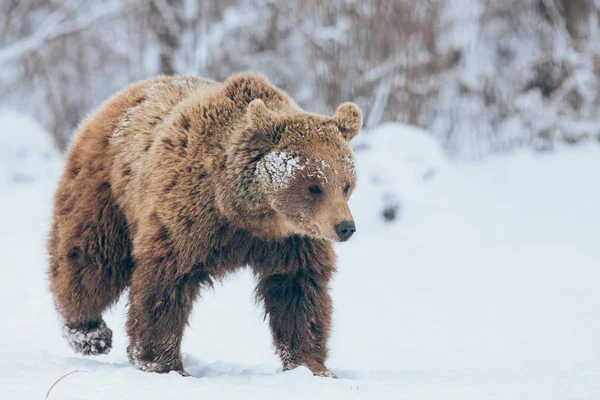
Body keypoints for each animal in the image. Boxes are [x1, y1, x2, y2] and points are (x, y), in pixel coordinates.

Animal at [47, 72, 360, 378]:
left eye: (346, 184)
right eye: (314, 186)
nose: (345, 227)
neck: (248, 215)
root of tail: (120, 96)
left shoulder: (292, 241)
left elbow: (298, 290)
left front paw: (311, 366)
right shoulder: (188, 219)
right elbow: (165, 283)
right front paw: (161, 362)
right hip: (107, 192)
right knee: (90, 262)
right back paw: (89, 333)